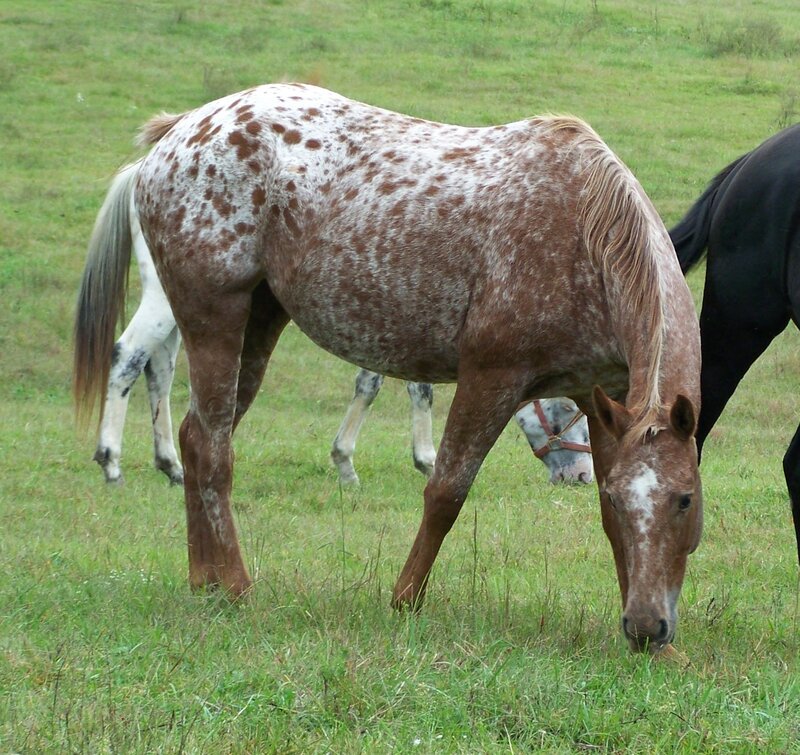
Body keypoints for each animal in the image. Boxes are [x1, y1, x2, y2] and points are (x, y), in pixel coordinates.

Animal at [331, 369, 592, 485]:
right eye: (568, 406)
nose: (582, 475)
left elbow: (368, 383)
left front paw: (343, 463)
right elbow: (419, 389)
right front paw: (429, 462)